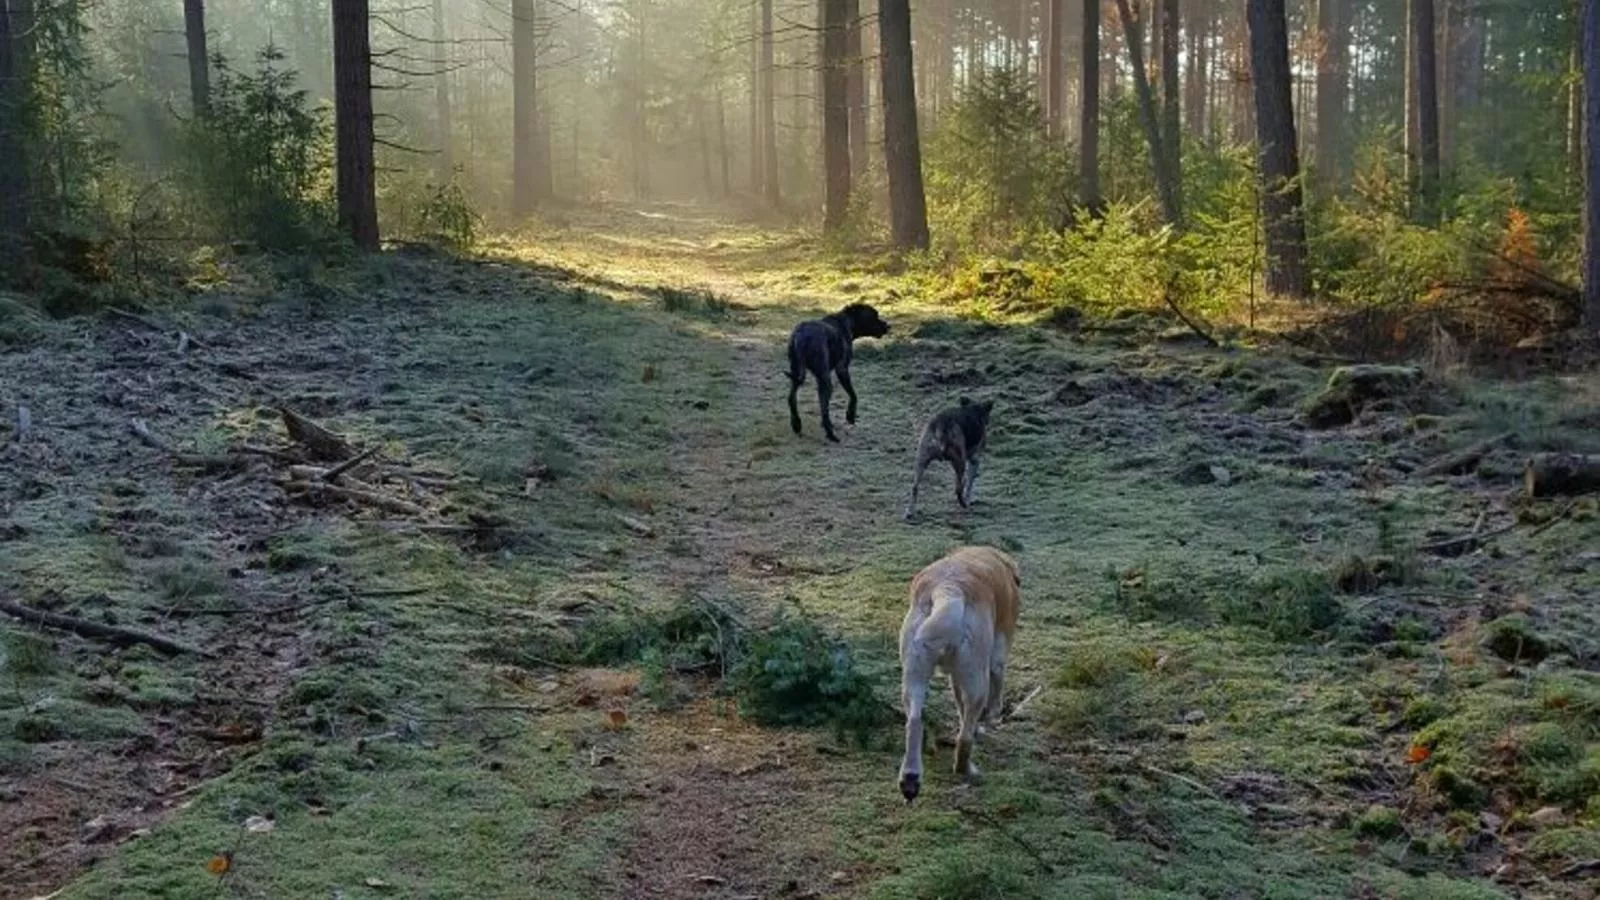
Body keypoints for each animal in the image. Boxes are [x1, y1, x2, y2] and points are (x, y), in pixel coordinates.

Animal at [784, 302, 889, 438]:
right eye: (874, 316)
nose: (888, 326)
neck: (848, 321)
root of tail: (801, 335)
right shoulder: (842, 369)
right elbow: (853, 395)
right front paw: (850, 415)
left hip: (797, 373)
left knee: (791, 398)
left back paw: (796, 424)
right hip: (825, 379)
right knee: (823, 407)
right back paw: (830, 433)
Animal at [896, 538, 1017, 797]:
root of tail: (949, 589)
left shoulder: (955, 675)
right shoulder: (997, 653)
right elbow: (997, 682)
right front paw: (992, 716)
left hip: (914, 673)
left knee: (914, 720)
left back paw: (910, 777)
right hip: (977, 680)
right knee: (965, 737)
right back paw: (966, 768)